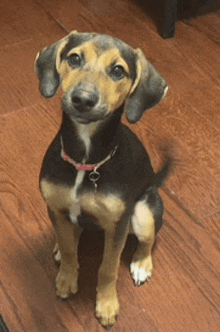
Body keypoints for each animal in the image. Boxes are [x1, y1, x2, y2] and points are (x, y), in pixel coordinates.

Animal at [35, 31, 170, 330]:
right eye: (74, 58)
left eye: (118, 70)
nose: (83, 99)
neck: (85, 161)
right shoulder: (56, 209)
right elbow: (70, 250)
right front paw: (66, 277)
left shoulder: (118, 225)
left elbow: (107, 269)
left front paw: (107, 304)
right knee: (71, 235)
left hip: (142, 213)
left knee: (148, 239)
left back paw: (142, 264)